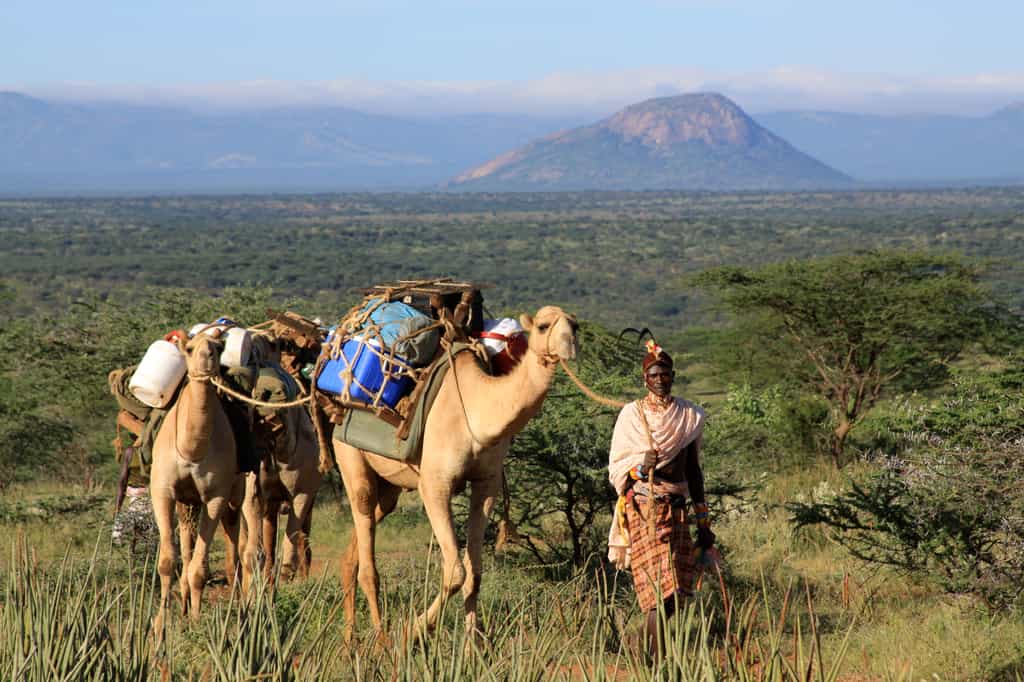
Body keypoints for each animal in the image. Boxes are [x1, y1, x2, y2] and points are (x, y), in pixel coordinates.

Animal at [150, 332, 245, 637]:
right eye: (190, 348)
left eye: (218, 347)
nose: (207, 358)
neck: (192, 450)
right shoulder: (163, 491)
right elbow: (167, 561)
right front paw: (161, 623)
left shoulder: (215, 496)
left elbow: (199, 568)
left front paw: (195, 620)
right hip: (186, 501)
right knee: (187, 535)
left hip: (236, 493)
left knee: (233, 537)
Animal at [333, 305, 579, 642]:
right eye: (543, 326)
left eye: (575, 326)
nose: (569, 345)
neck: (476, 413)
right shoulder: (434, 484)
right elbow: (455, 572)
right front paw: (412, 631)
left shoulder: (486, 483)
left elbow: (474, 570)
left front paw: (473, 644)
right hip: (347, 452)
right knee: (365, 531)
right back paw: (381, 638)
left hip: (390, 483)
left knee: (358, 546)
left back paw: (349, 638)